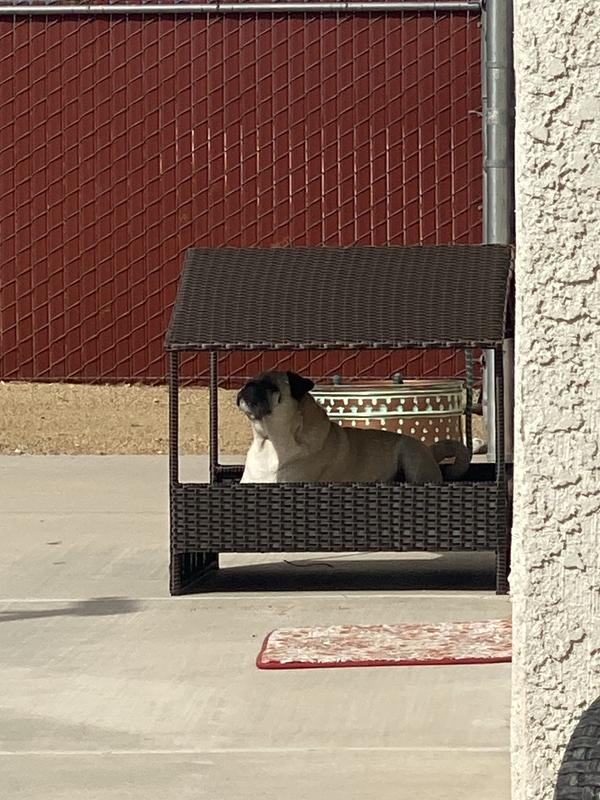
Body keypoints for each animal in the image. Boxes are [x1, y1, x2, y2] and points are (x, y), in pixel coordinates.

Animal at [237, 371, 471, 484]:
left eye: (271, 387)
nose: (247, 386)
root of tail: (429, 450)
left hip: (411, 456)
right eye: (251, 380)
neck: (269, 441)